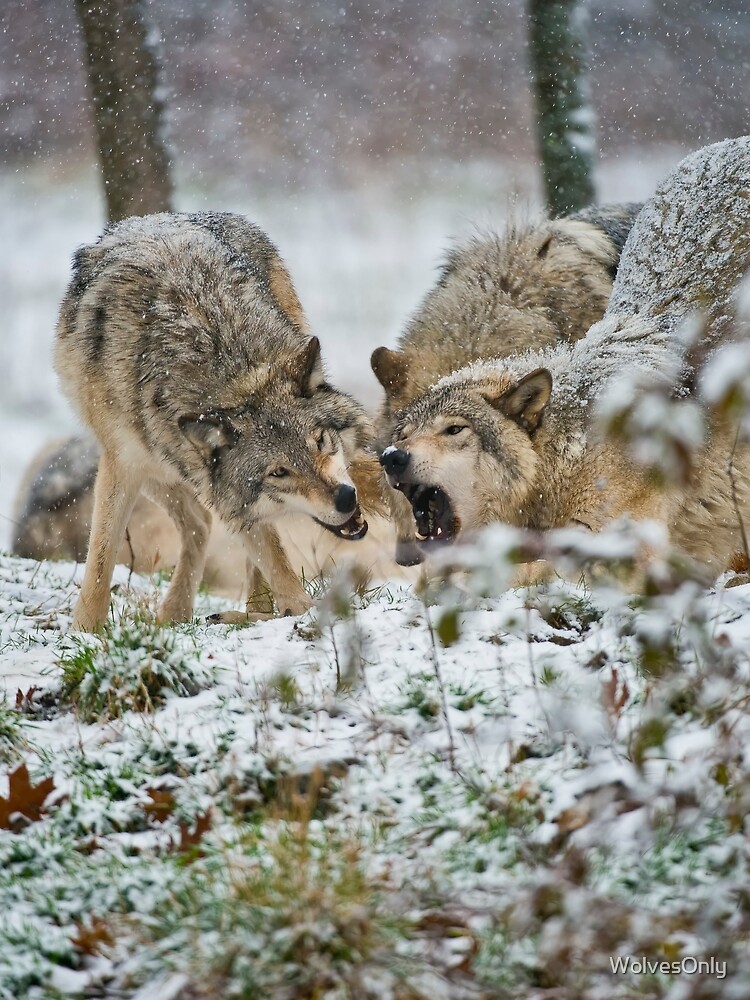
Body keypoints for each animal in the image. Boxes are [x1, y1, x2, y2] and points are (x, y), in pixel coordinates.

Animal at [54, 211, 386, 631]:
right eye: (279, 472)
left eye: (321, 442)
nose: (345, 498)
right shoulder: (124, 462)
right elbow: (100, 559)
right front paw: (86, 632)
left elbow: (273, 557)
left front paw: (292, 611)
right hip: (160, 462)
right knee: (200, 522)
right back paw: (181, 612)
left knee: (217, 527)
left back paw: (248, 611)